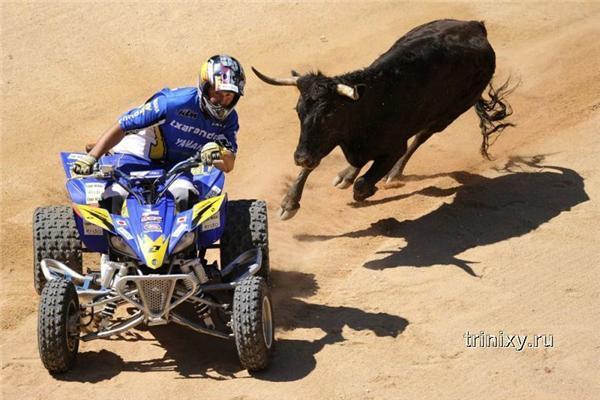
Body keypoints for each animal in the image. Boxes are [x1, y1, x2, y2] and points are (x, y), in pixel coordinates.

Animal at [251, 18, 512, 220]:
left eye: (329, 114)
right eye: (298, 111)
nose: (299, 157)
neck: (369, 104)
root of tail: (476, 26)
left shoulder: (393, 147)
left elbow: (363, 183)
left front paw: (366, 190)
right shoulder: (325, 141)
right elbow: (314, 165)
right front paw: (288, 203)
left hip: (448, 114)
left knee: (421, 137)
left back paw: (392, 175)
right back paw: (346, 174)